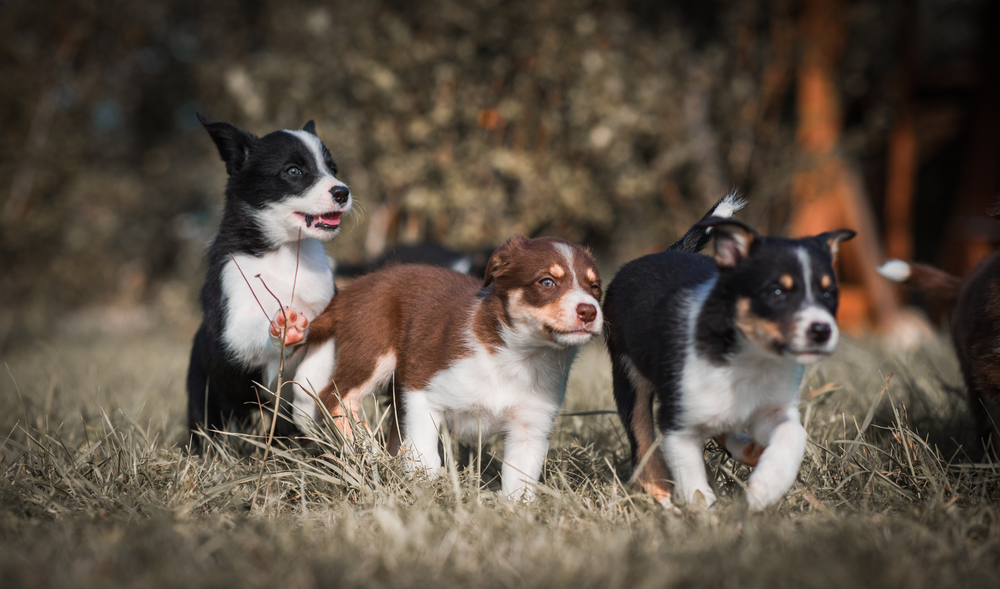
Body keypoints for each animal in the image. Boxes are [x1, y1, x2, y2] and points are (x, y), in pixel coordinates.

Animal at [187, 112, 352, 448]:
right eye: (294, 171)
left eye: (333, 170)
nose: (342, 192)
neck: (287, 251)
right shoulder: (229, 332)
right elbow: (248, 334)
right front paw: (284, 327)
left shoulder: (328, 319)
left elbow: (310, 373)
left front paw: (306, 414)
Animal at [302, 234, 600, 496]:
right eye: (547, 282)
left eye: (594, 287)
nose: (589, 311)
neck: (518, 357)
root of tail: (348, 291)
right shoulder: (422, 390)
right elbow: (425, 454)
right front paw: (429, 492)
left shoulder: (530, 429)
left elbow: (520, 486)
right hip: (372, 349)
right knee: (334, 397)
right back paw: (374, 456)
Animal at [600, 212, 852, 510]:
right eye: (777, 292)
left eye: (828, 294)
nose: (822, 330)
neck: (750, 358)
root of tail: (666, 251)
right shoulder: (678, 423)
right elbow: (694, 485)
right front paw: (707, 516)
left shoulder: (774, 408)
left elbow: (793, 434)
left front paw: (766, 487)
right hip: (628, 374)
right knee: (641, 437)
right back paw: (662, 496)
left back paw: (745, 448)